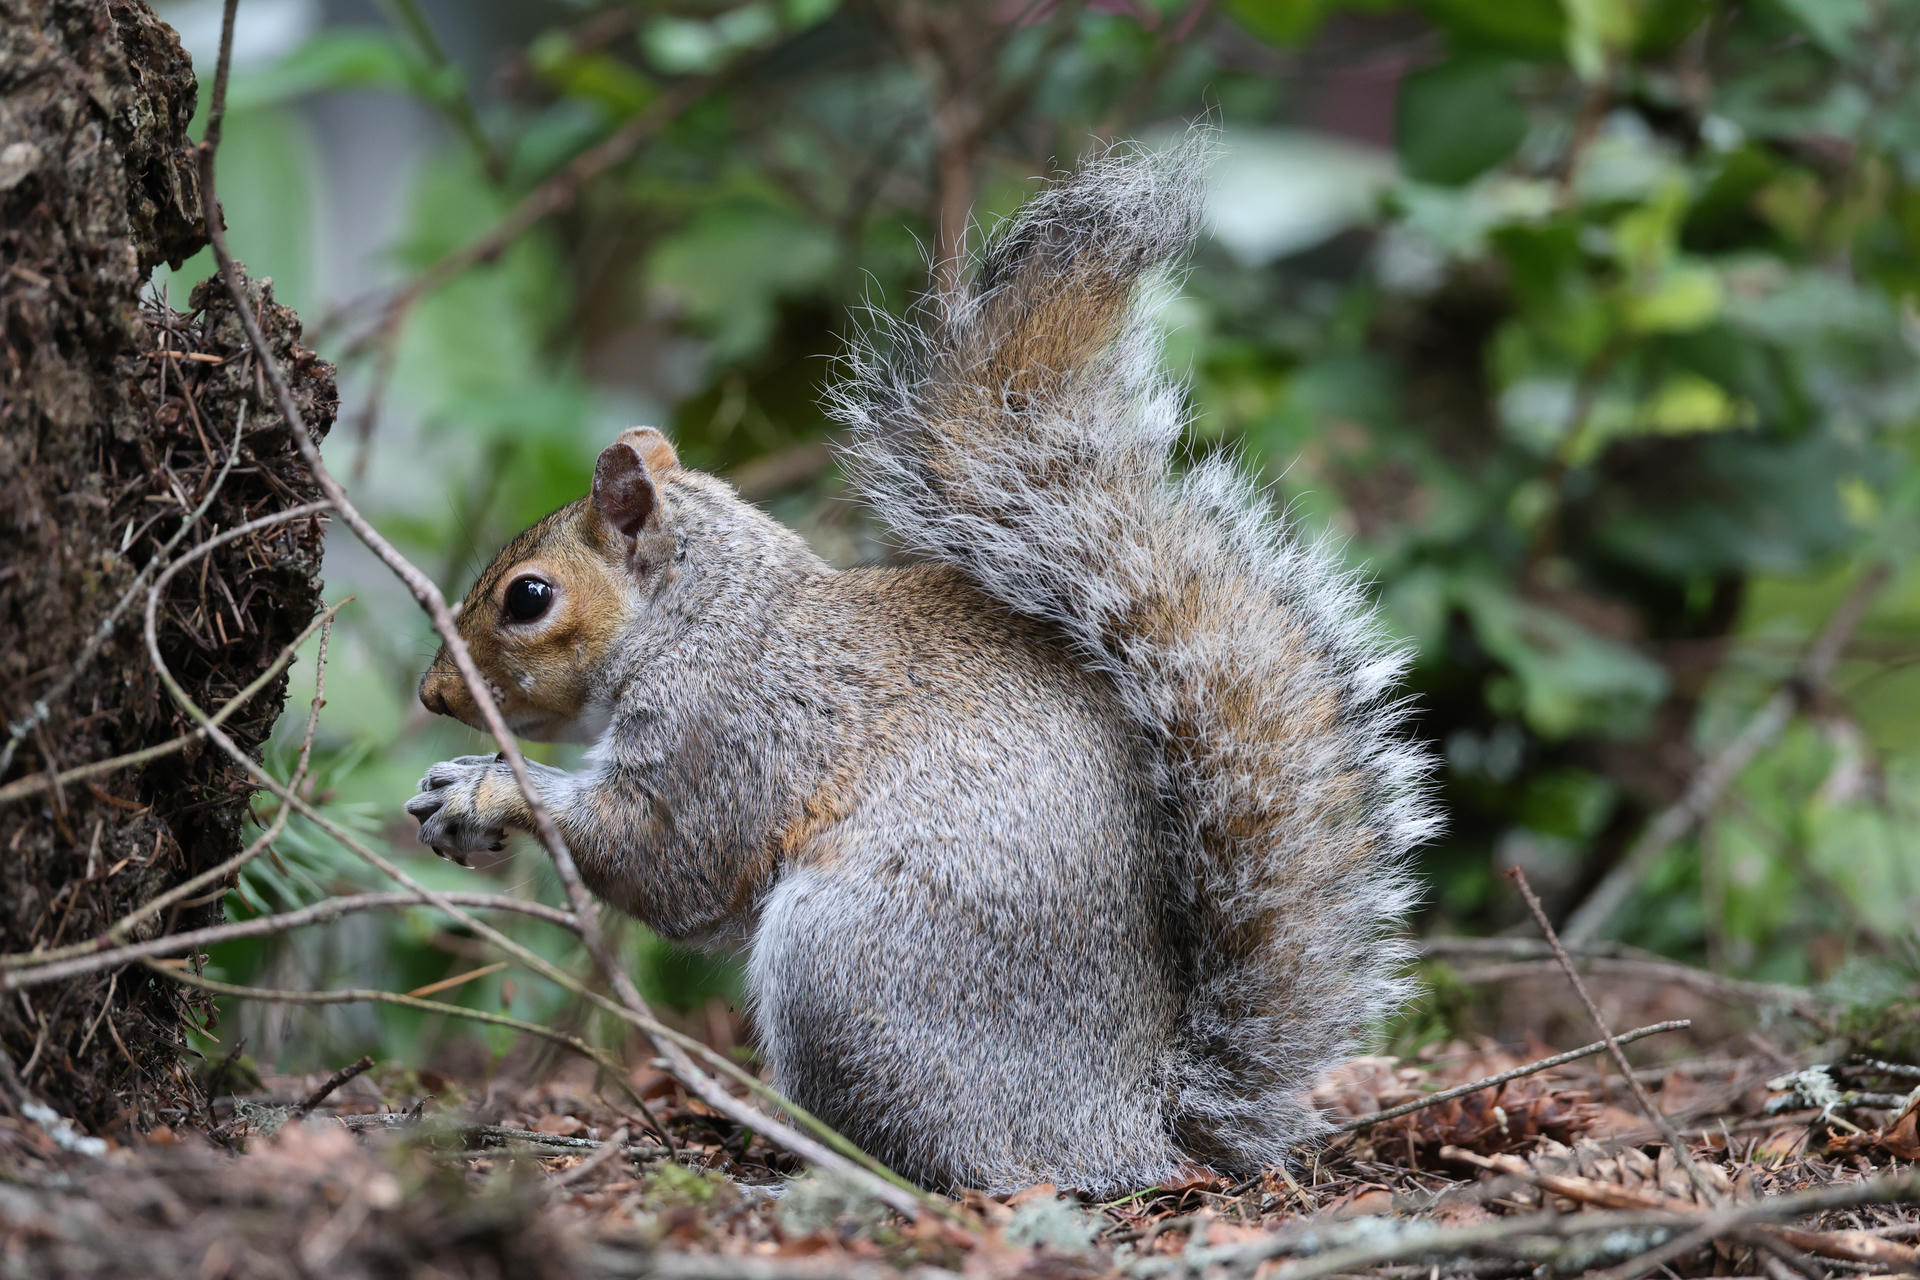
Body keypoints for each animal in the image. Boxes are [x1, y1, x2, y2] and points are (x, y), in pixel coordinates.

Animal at [406, 136, 1437, 1196]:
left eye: (528, 598)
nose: (434, 694)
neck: (706, 616)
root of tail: (1131, 1126)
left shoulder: (729, 731)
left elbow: (664, 861)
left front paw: (486, 791)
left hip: (849, 969)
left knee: (935, 1163)